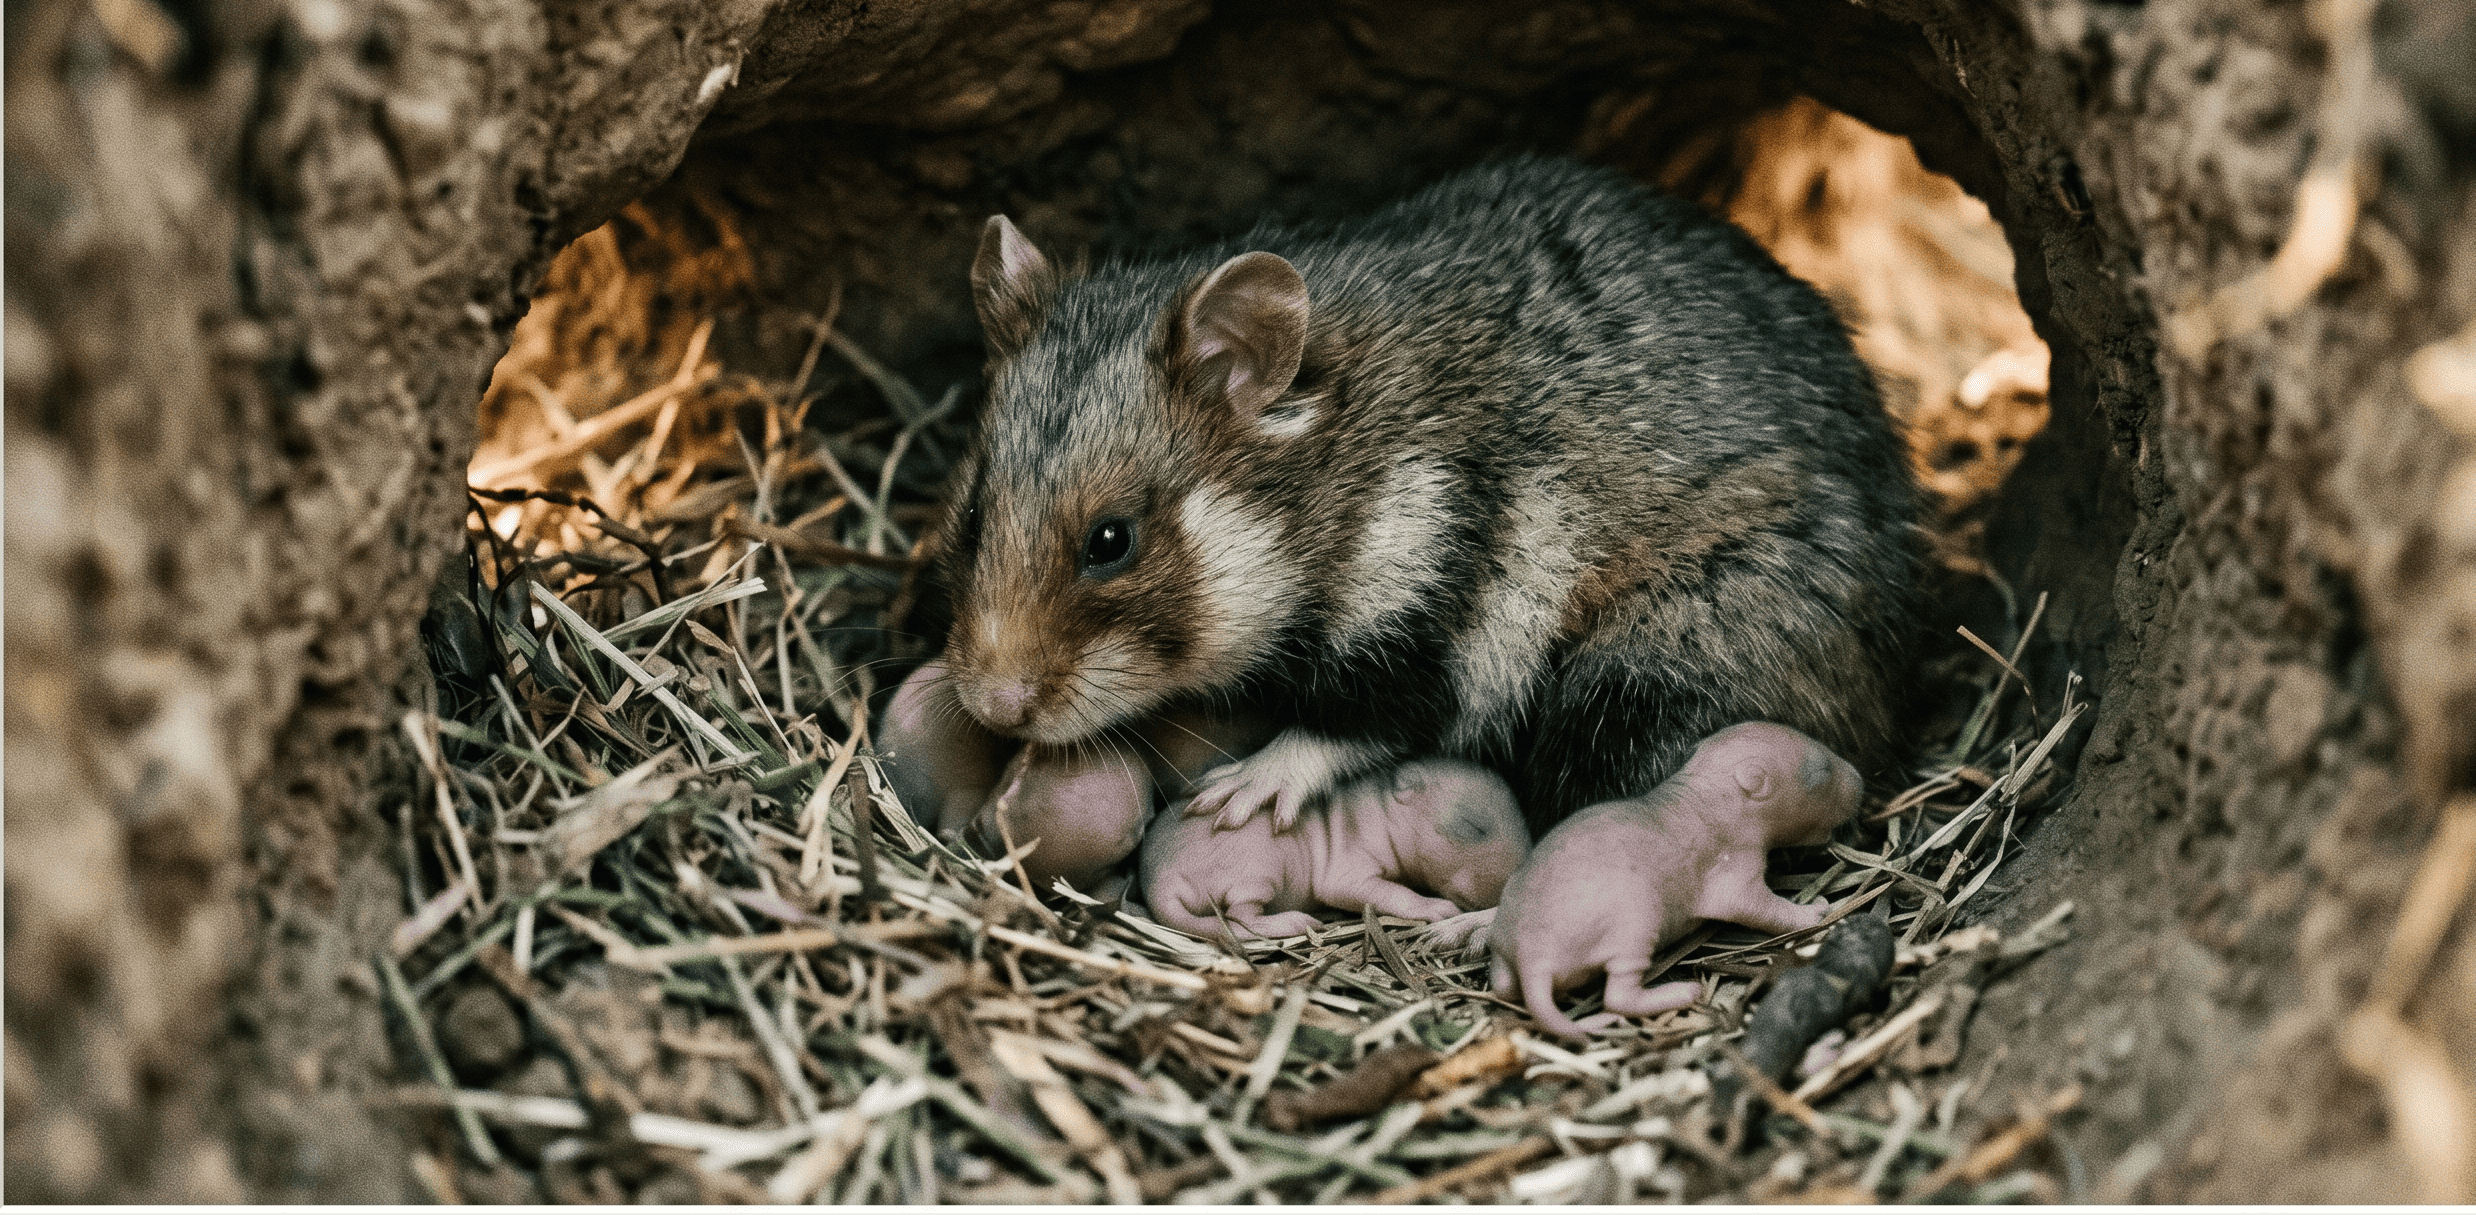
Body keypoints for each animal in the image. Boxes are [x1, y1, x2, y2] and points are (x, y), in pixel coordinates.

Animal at [936, 155, 1920, 839]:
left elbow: (1355, 725)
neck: (1335, 473)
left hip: (1647, 677)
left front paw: (1238, 794)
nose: (989, 707)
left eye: (1112, 541)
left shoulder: (1434, 604)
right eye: (973, 516)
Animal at [1139, 759, 1530, 941]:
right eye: (1471, 827)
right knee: (1240, 914)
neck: (1382, 808)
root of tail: (1159, 880)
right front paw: (1433, 907)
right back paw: (1292, 921)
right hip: (1261, 866)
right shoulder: (1351, 863)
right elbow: (1375, 890)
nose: (1513, 888)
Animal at [1476, 722, 1860, 1038]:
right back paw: (1679, 992)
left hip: (1504, 938)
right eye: (1822, 773)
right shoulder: (1734, 862)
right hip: (1635, 921)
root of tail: (1532, 958)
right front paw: (1813, 912)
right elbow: (1753, 906)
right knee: (1619, 996)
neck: (1706, 792)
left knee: (1503, 986)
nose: (1860, 777)